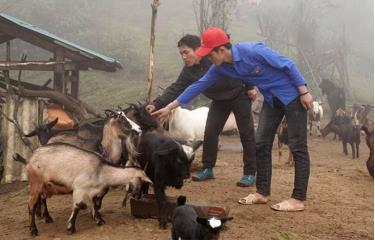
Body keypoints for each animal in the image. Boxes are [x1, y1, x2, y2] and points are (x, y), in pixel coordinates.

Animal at [14, 142, 153, 236]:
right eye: (141, 182)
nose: (137, 196)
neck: (101, 170)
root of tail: (31, 158)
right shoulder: (79, 189)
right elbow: (78, 206)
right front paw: (71, 227)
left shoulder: (96, 192)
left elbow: (96, 205)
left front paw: (99, 220)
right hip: (36, 183)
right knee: (31, 204)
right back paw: (33, 230)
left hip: (45, 186)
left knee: (41, 200)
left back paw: (47, 218)